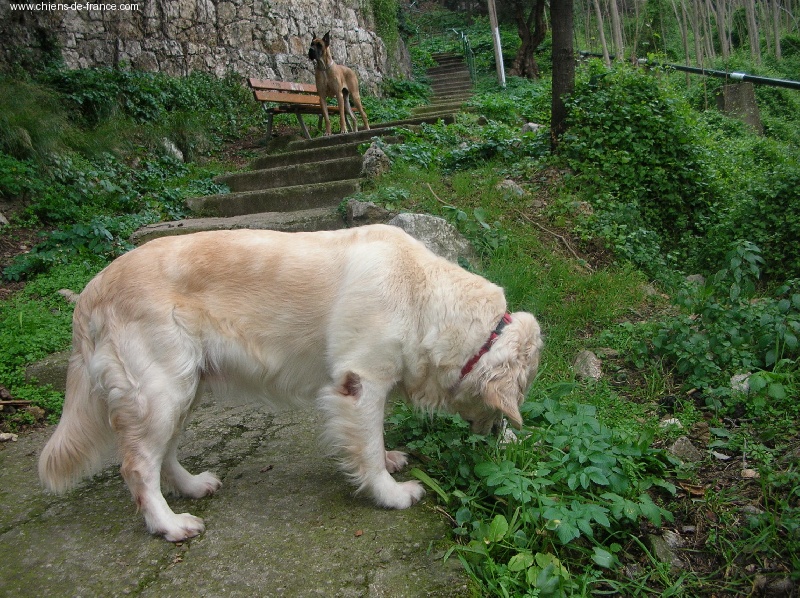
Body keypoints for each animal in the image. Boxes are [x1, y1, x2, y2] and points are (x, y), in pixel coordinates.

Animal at [38, 225, 543, 542]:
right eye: (518, 397)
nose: (507, 443)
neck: (422, 296)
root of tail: (90, 291)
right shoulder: (360, 382)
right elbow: (366, 447)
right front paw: (391, 493)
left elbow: (372, 441)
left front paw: (390, 460)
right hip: (159, 389)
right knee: (138, 466)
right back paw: (169, 525)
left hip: (185, 387)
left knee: (164, 454)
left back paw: (193, 486)